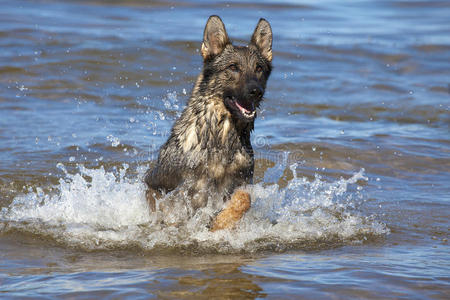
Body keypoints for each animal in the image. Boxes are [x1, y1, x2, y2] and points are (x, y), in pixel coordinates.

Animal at [145, 15, 270, 231]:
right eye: (233, 67)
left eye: (259, 68)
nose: (256, 91)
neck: (222, 137)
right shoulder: (171, 190)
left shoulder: (239, 184)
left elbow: (244, 199)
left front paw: (221, 221)